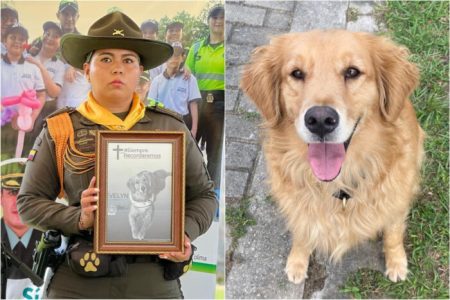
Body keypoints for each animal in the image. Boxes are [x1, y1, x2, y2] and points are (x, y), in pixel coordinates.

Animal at [241, 30, 424, 284]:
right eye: (297, 73)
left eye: (352, 72)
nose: (320, 120)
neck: (340, 184)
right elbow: (302, 233)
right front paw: (297, 262)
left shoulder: (396, 202)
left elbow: (393, 234)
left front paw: (397, 262)